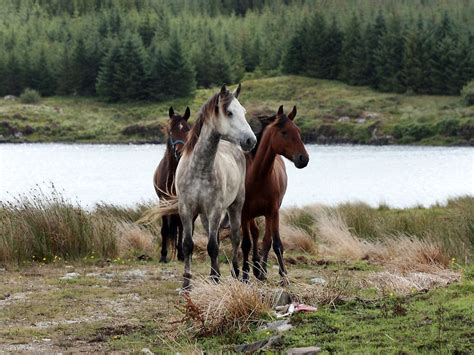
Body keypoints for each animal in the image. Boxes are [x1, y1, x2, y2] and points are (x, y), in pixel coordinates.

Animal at [241, 105, 312, 284]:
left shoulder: (272, 212)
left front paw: (280, 275)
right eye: (284, 132)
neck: (257, 177)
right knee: (250, 236)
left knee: (263, 237)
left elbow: (273, 243)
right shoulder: (243, 213)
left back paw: (260, 269)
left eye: (298, 131)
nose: (303, 158)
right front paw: (244, 275)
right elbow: (245, 243)